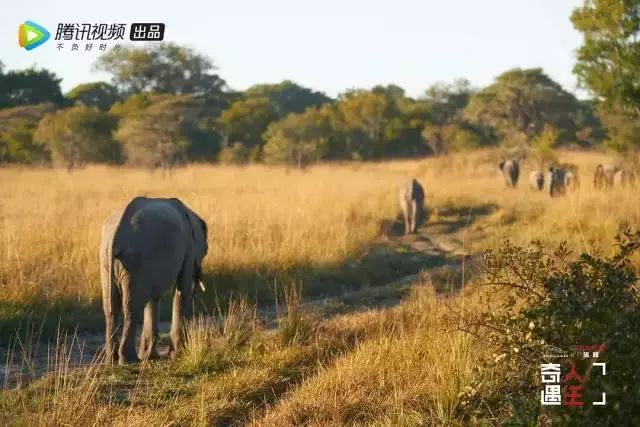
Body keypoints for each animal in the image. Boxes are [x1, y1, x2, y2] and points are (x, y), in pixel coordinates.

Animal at [99, 196, 208, 364]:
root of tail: (115, 237)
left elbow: (153, 298)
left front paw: (150, 356)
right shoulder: (188, 249)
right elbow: (181, 291)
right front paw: (176, 354)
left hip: (106, 260)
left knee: (111, 307)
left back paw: (112, 360)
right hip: (135, 260)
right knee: (131, 307)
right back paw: (128, 360)